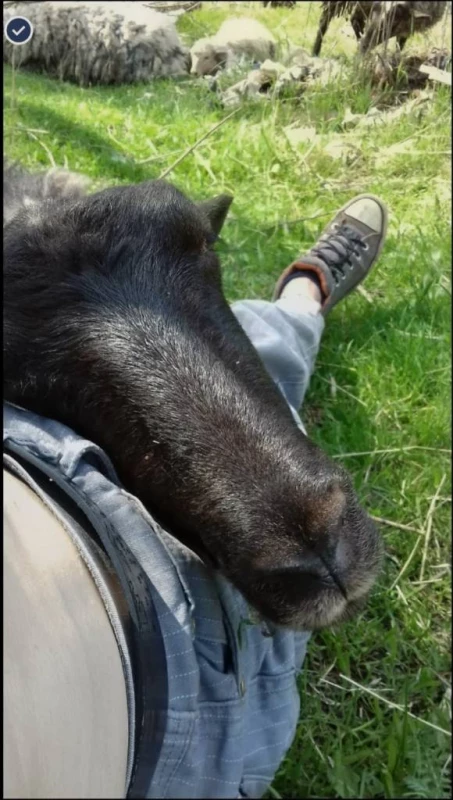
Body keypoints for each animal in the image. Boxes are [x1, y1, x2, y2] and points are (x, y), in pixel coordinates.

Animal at [312, 1, 447, 57]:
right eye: (376, 10)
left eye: (395, 21)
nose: (363, 47)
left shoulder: (408, 28)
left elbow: (400, 44)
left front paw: (397, 56)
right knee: (324, 19)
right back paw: (315, 52)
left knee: (355, 20)